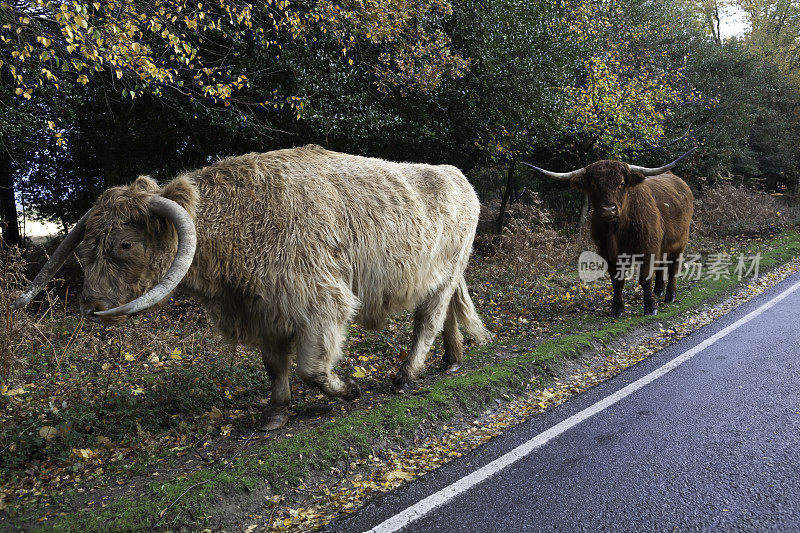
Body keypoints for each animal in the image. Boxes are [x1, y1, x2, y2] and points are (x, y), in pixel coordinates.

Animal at [17, 144, 494, 428]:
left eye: (124, 243)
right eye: (85, 247)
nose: (90, 306)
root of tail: (457, 176)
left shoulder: (322, 303)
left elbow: (311, 370)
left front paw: (350, 390)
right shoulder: (264, 313)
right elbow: (274, 367)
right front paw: (276, 414)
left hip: (444, 274)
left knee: (426, 322)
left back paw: (407, 375)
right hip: (444, 277)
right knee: (447, 315)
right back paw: (451, 361)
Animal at [524, 149, 692, 316]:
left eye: (622, 183)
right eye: (593, 184)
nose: (609, 210)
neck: (617, 231)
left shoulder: (648, 249)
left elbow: (645, 278)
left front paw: (650, 307)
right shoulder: (608, 253)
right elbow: (617, 281)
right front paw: (617, 309)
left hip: (680, 242)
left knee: (673, 267)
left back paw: (670, 295)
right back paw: (658, 290)